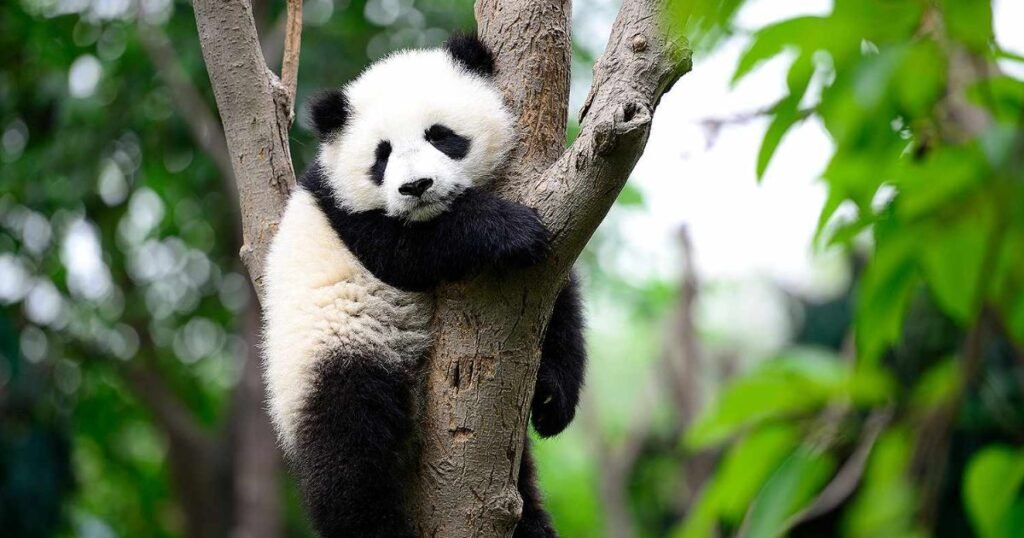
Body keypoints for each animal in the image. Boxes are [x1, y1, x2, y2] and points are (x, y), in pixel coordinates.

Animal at [262, 33, 587, 537]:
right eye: (382, 155)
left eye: (440, 135)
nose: (416, 186)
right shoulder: (348, 217)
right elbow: (409, 252)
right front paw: (507, 229)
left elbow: (557, 299)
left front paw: (552, 397)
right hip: (329, 353)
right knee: (349, 451)